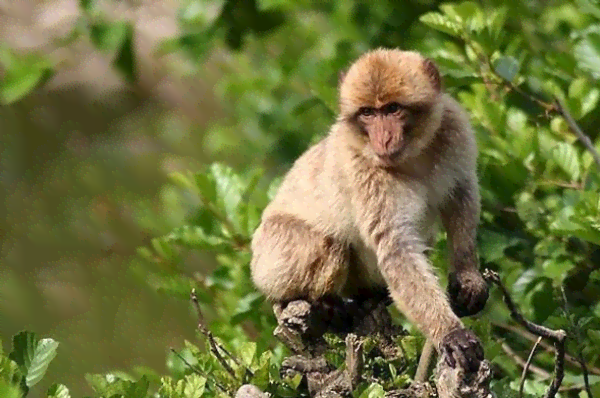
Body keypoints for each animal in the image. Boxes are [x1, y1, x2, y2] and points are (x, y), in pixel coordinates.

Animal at [251, 48, 490, 372]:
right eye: (368, 113)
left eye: (392, 109)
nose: (383, 139)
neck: (412, 156)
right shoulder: (365, 171)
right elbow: (397, 250)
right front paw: (449, 332)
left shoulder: (454, 128)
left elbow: (461, 193)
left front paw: (467, 275)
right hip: (271, 256)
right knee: (327, 245)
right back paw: (321, 304)